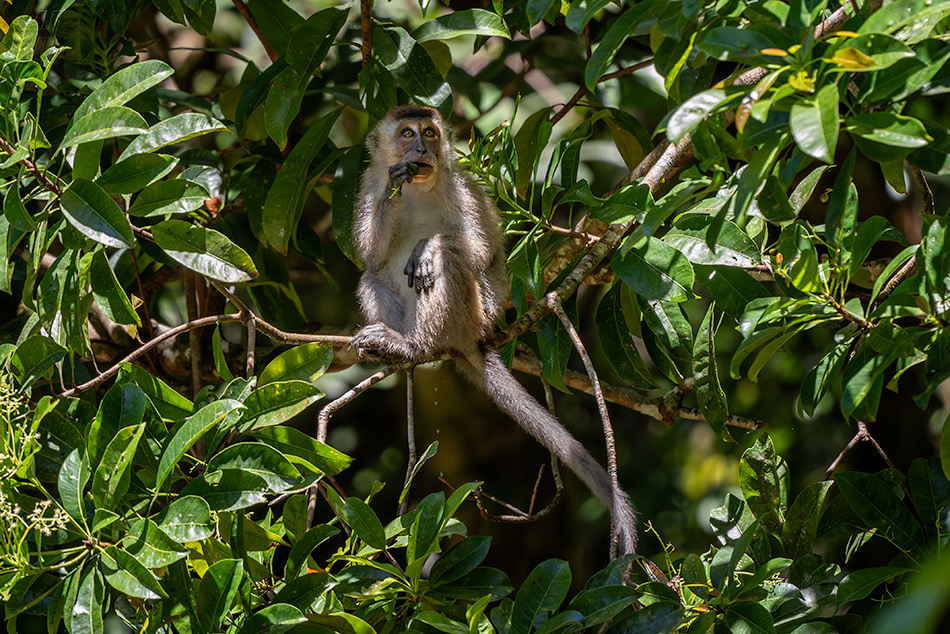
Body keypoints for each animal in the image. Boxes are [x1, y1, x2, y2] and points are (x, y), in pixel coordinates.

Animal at [350, 103, 640, 552]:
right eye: (406, 134)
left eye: (429, 133)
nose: (421, 149)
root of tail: (469, 339)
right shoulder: (371, 181)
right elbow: (369, 252)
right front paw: (395, 185)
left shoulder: (462, 185)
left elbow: (480, 249)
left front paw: (427, 248)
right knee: (372, 275)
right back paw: (395, 348)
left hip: (473, 314)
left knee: (451, 260)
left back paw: (417, 344)